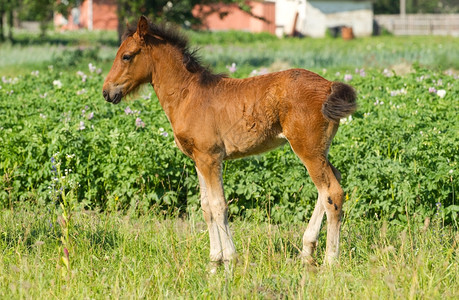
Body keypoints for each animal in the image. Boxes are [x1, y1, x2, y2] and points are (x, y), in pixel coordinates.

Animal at [102, 16, 358, 268]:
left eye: (126, 56)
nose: (106, 92)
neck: (188, 95)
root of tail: (328, 86)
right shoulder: (198, 159)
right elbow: (206, 206)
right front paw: (214, 260)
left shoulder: (211, 158)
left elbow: (219, 205)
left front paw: (230, 259)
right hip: (319, 149)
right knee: (331, 183)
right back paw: (307, 251)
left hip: (307, 149)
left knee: (332, 192)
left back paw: (330, 261)